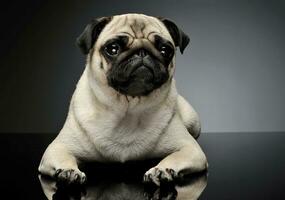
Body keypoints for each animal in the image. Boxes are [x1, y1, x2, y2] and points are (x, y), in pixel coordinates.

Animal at [37, 13, 206, 186]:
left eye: (165, 50)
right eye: (113, 49)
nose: (142, 52)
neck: (128, 108)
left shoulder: (190, 149)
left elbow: (175, 157)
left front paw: (162, 170)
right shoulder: (57, 148)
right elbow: (63, 156)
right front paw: (68, 171)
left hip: (194, 121)